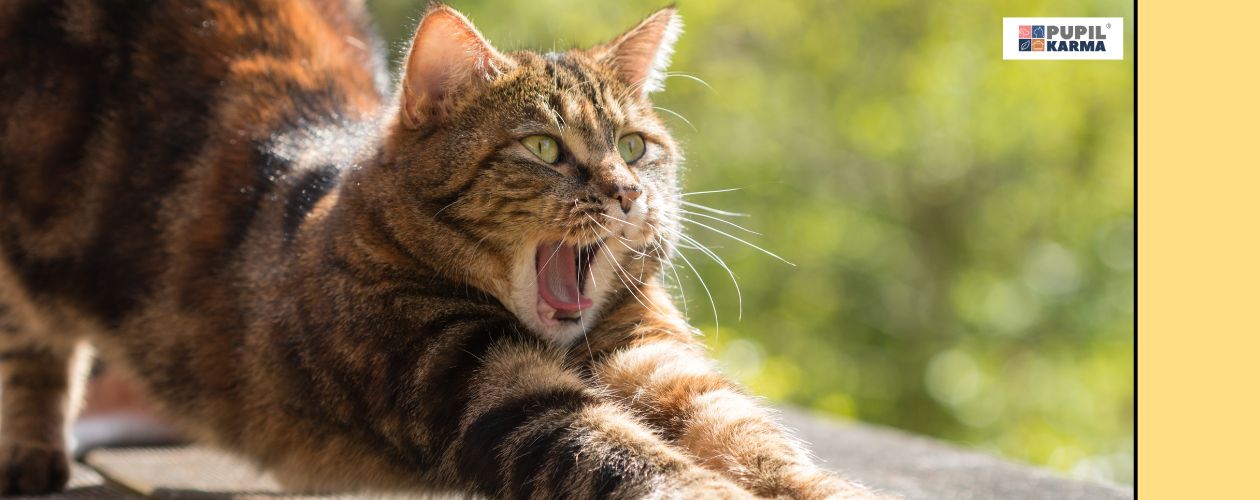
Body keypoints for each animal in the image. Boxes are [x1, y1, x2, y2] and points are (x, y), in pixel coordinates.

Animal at [0, 1, 882, 496]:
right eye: (545, 148)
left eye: (635, 148)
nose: (629, 194)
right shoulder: (481, 386)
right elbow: (643, 461)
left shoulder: (651, 354)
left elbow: (750, 437)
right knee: (33, 351)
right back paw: (33, 451)